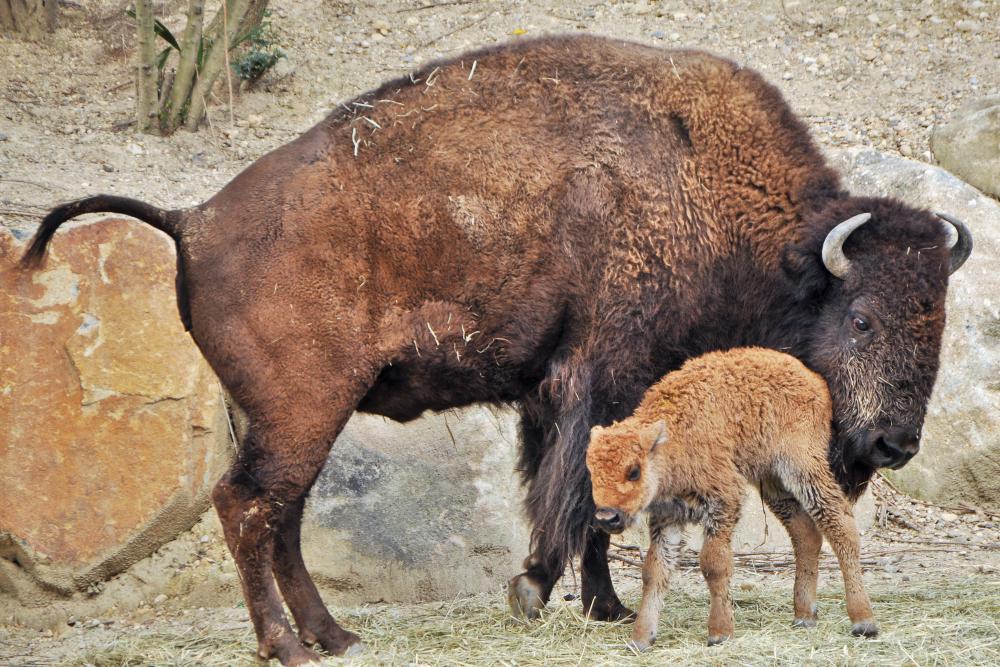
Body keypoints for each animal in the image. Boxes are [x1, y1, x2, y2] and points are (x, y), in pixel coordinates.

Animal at [584, 348, 876, 648]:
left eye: (633, 471)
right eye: (591, 469)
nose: (607, 516)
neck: (673, 439)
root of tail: (813, 379)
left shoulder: (723, 502)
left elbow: (713, 564)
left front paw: (719, 632)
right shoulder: (668, 518)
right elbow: (654, 570)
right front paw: (641, 638)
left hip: (803, 468)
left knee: (840, 526)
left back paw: (863, 621)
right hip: (773, 483)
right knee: (806, 534)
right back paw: (804, 616)